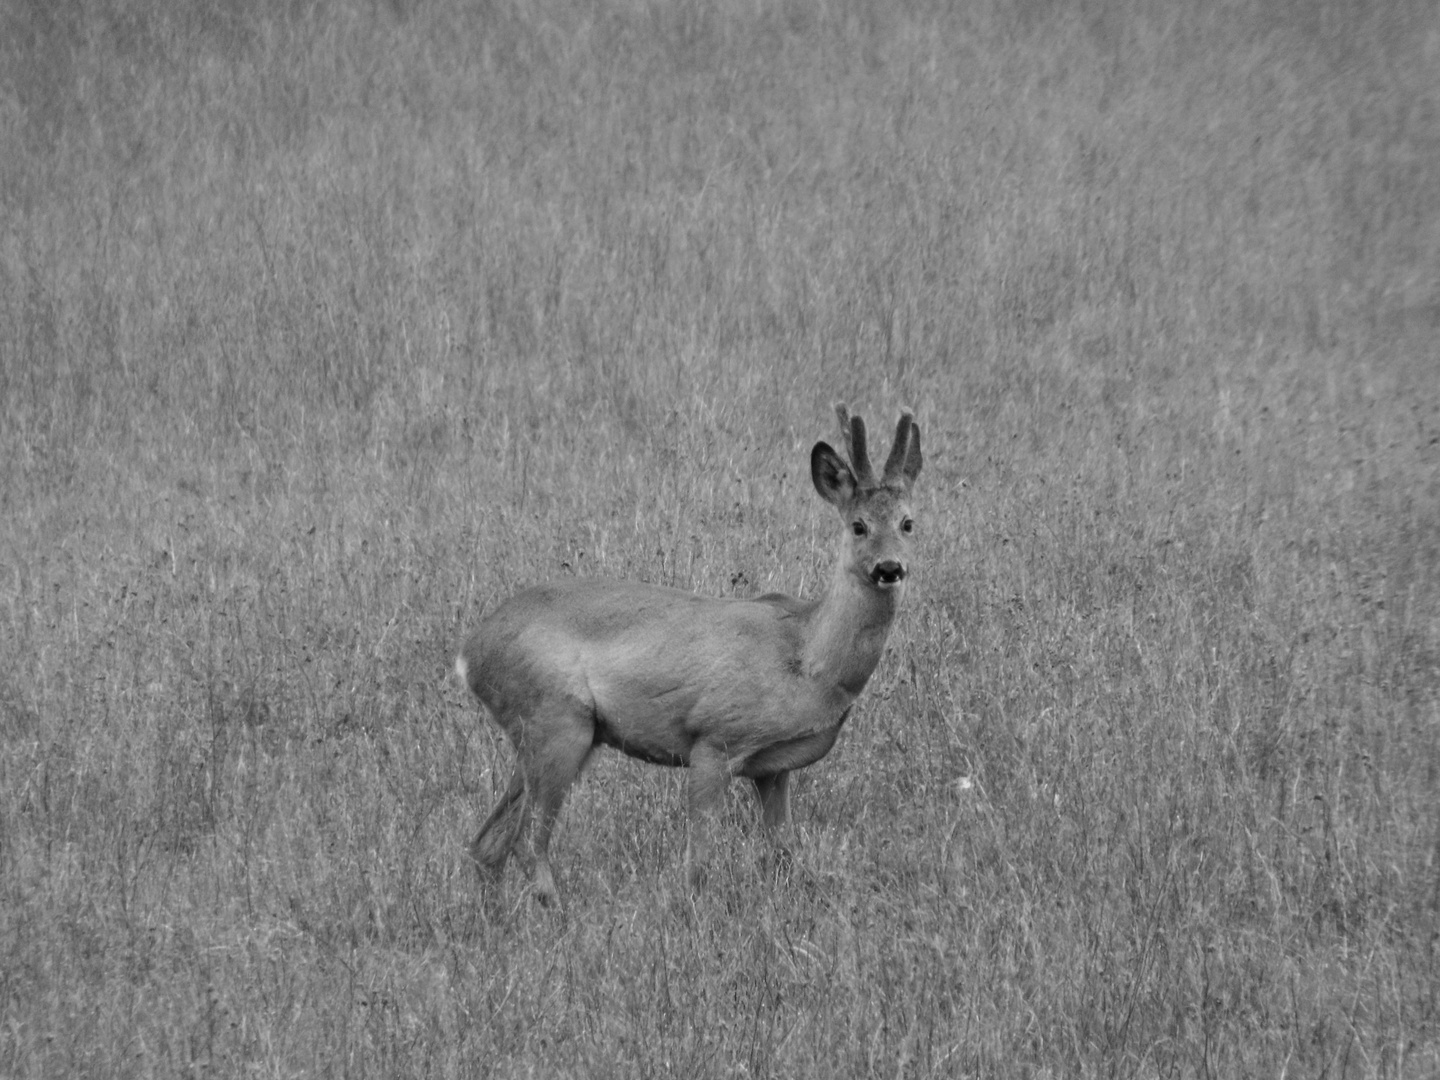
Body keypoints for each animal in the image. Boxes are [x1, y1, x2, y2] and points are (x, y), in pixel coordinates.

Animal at [455, 406, 921, 904]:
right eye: (859, 525)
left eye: (908, 523)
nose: (889, 568)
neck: (807, 659)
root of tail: (469, 653)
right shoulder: (714, 739)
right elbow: (698, 863)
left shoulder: (774, 770)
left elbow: (784, 855)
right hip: (556, 721)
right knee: (527, 843)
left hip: (539, 735)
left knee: (487, 843)